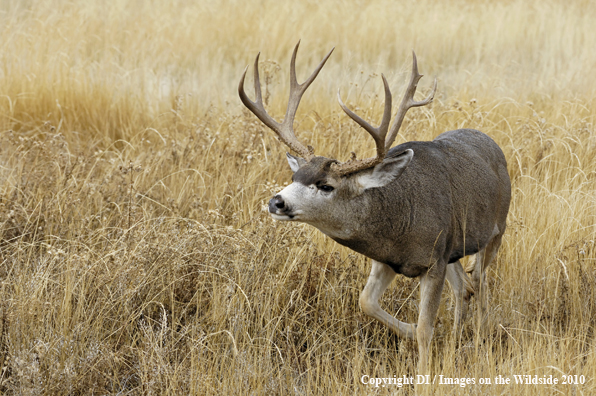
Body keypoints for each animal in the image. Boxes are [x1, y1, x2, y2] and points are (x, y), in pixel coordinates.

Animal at [237, 43, 512, 374]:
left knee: (481, 283)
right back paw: (456, 341)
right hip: (455, 248)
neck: (401, 217)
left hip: (496, 230)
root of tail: (492, 143)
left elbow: (426, 327)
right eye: (295, 176)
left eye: (326, 185)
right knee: (465, 288)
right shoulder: (389, 258)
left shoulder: (433, 260)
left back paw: (480, 339)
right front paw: (410, 332)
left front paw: (424, 373)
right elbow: (366, 301)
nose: (276, 202)